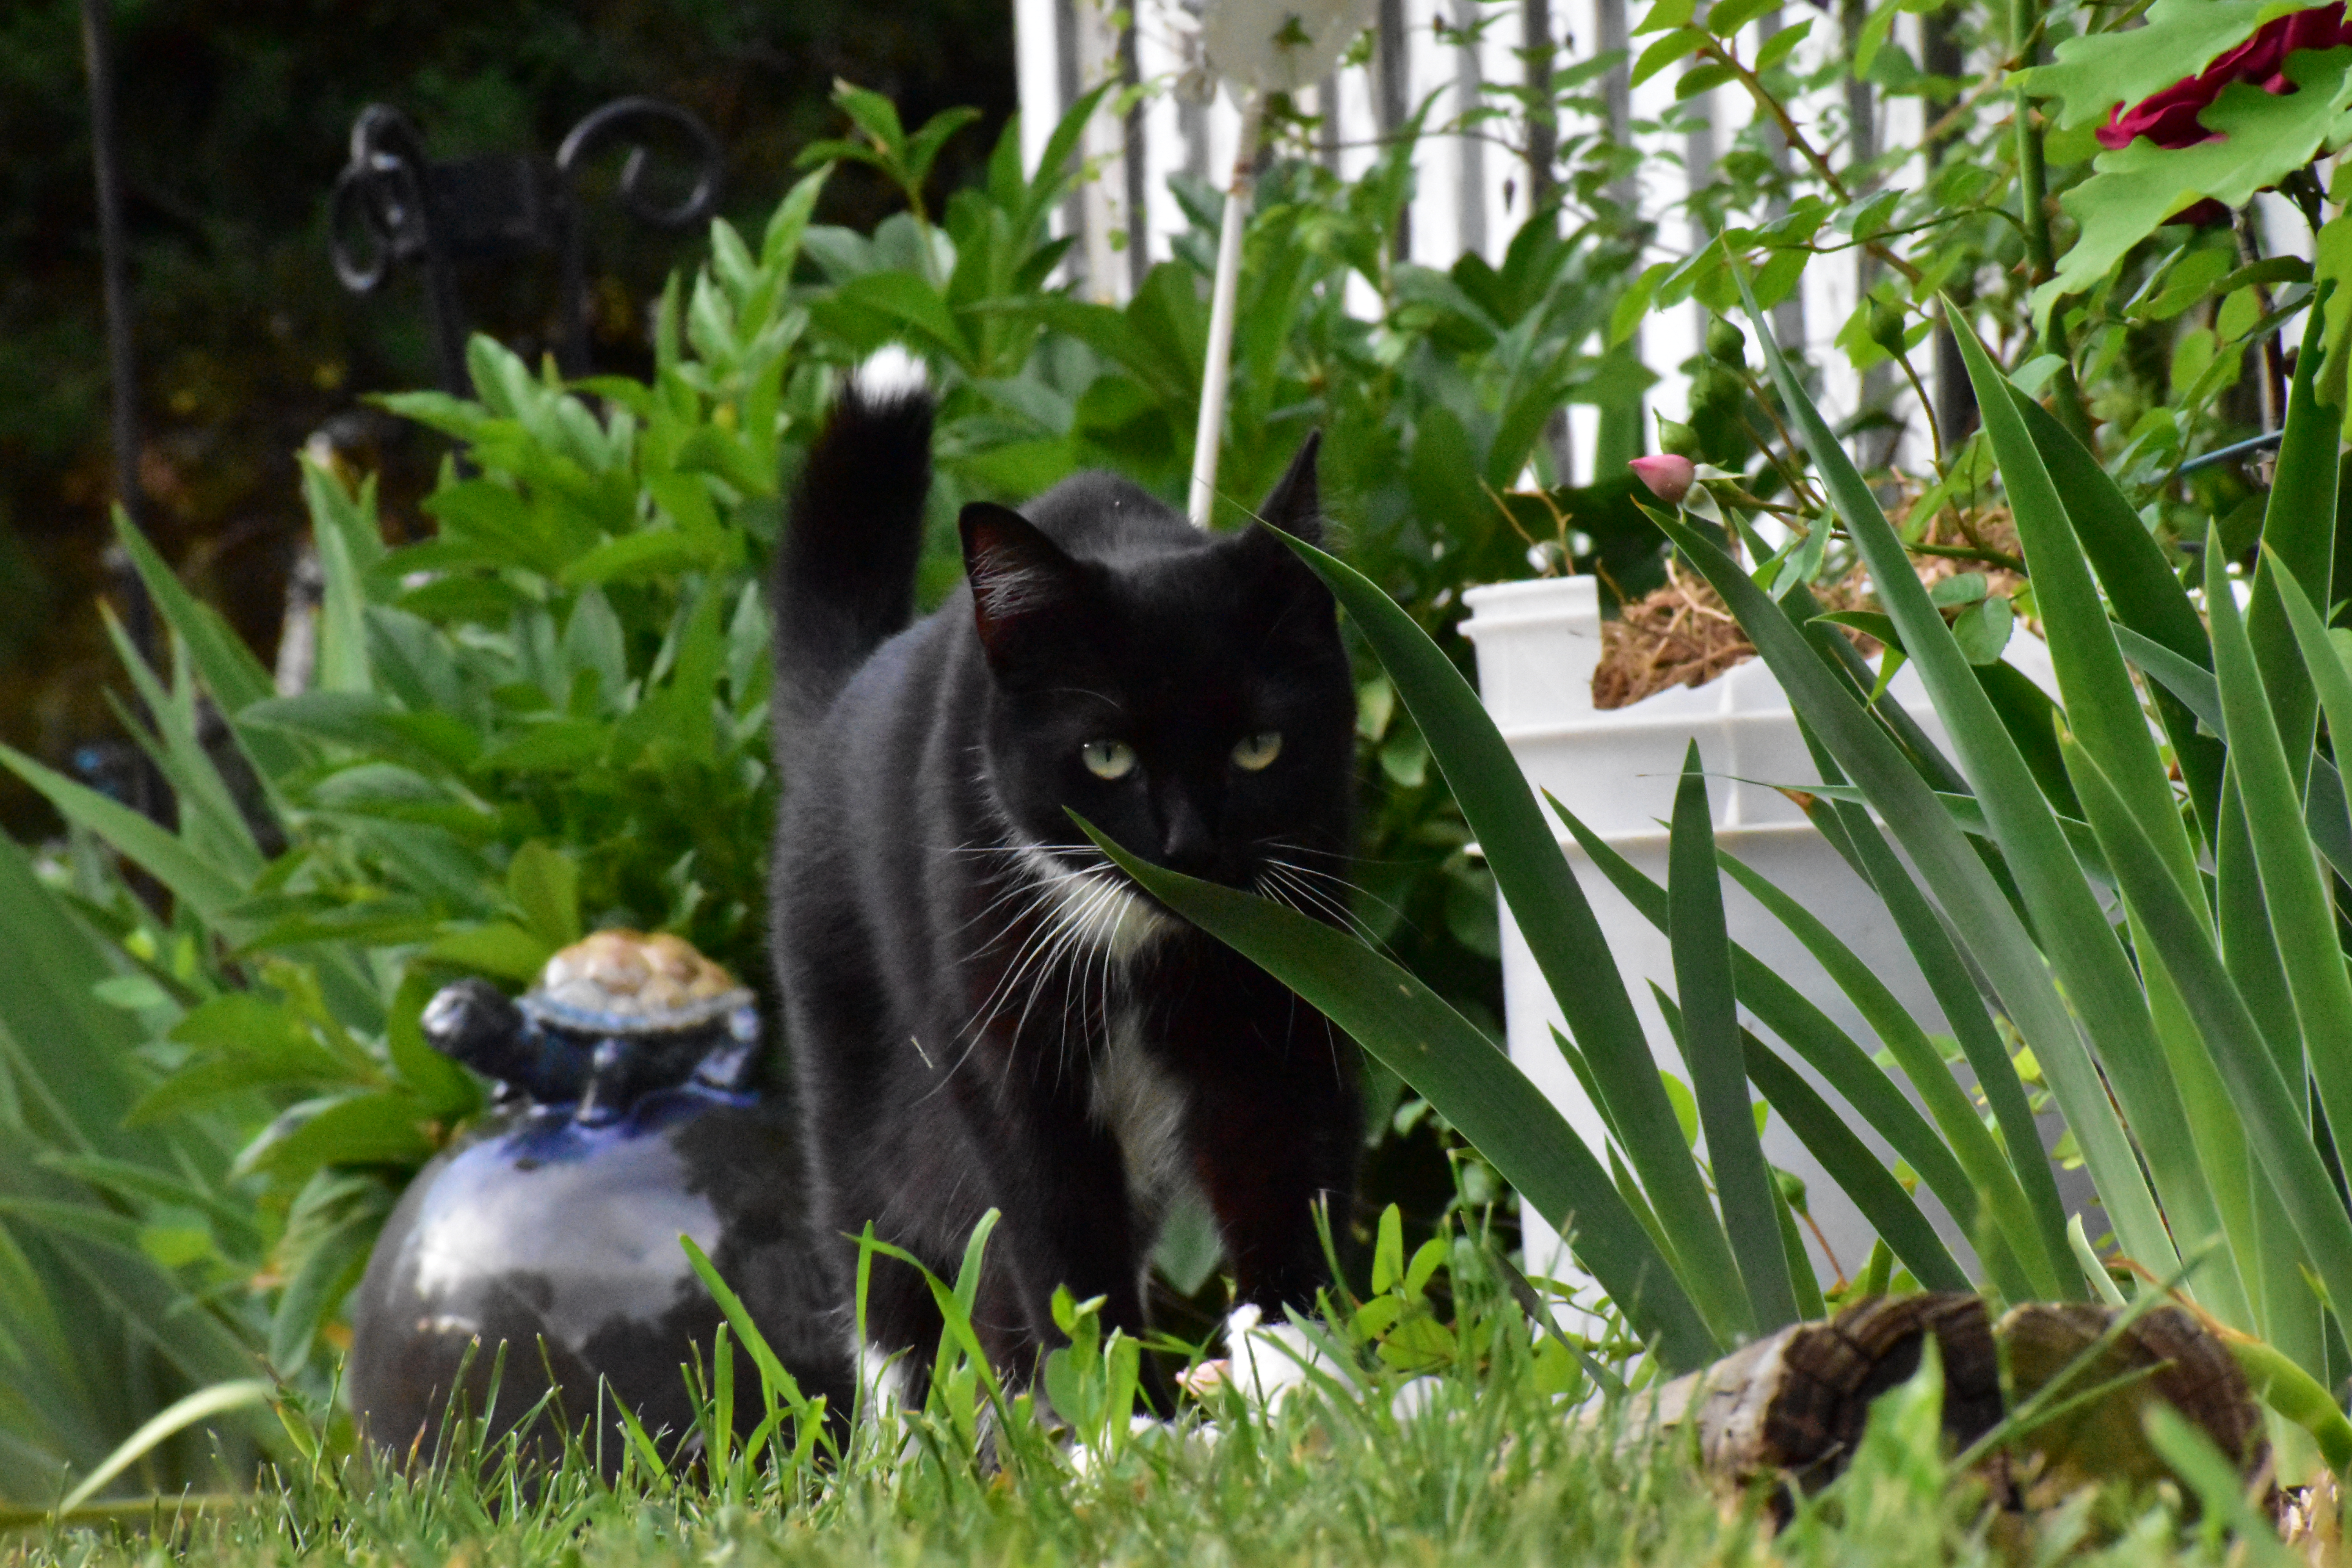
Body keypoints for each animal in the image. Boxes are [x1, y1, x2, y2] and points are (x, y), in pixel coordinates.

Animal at [771, 355, 1364, 1410]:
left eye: (1259, 746)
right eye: (1105, 756)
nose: (1188, 849)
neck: (1149, 945)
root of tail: (841, 701)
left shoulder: (1287, 981)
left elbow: (1284, 1159)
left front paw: (1302, 1379)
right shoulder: (1002, 1026)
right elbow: (1056, 1230)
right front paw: (1116, 1416)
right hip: (849, 1069)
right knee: (889, 1271)